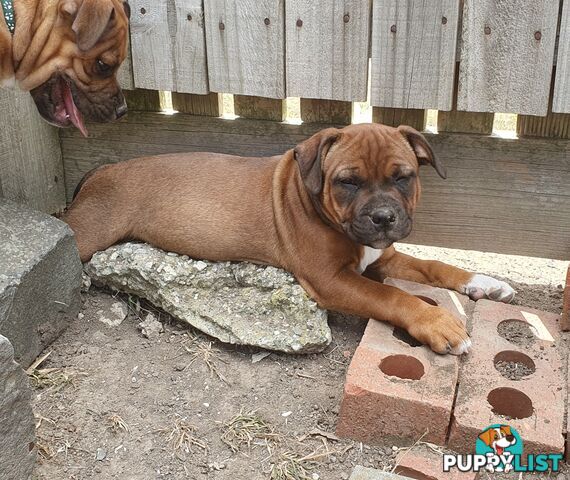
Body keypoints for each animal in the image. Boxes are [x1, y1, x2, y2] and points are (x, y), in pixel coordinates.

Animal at [63, 124, 516, 354]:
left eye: (403, 177)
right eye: (348, 182)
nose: (384, 218)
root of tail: (102, 170)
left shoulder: (379, 256)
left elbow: (433, 265)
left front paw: (484, 283)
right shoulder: (331, 280)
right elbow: (392, 295)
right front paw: (436, 322)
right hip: (87, 232)